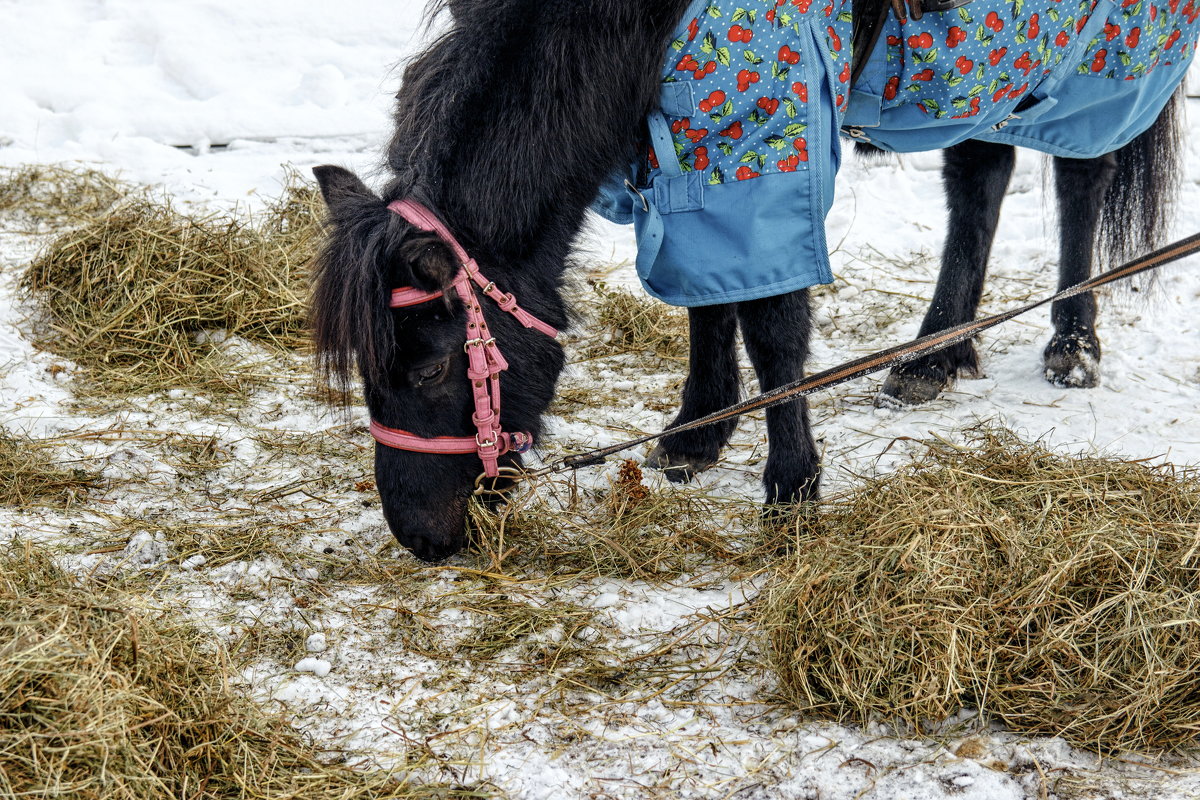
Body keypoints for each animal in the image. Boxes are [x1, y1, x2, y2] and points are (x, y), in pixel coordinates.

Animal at [309, 0, 1180, 563]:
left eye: (430, 368)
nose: (422, 538)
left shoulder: (762, 134)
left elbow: (770, 323)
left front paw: (791, 492)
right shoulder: (680, 145)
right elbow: (707, 297)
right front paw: (698, 431)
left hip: (1091, 56)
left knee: (1081, 172)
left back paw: (1072, 344)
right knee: (982, 172)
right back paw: (935, 355)